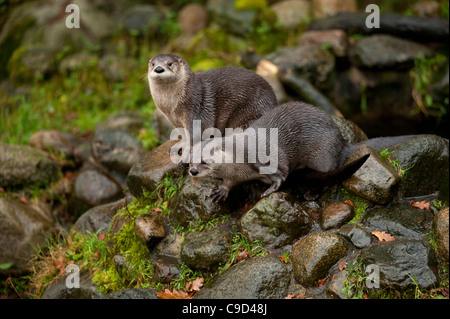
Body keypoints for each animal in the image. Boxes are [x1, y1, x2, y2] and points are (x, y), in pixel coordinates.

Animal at [148, 54, 278, 161]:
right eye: (153, 64)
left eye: (170, 63)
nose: (158, 69)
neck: (172, 106)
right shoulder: (173, 119)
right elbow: (183, 134)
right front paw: (180, 145)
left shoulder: (193, 110)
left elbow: (193, 137)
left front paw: (185, 155)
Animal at [188, 102, 416, 202]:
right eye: (190, 161)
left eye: (204, 161)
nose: (193, 172)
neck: (238, 161)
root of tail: (342, 142)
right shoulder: (234, 175)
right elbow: (230, 183)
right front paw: (221, 191)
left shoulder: (268, 158)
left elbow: (280, 175)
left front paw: (270, 190)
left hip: (323, 156)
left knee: (329, 178)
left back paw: (311, 192)